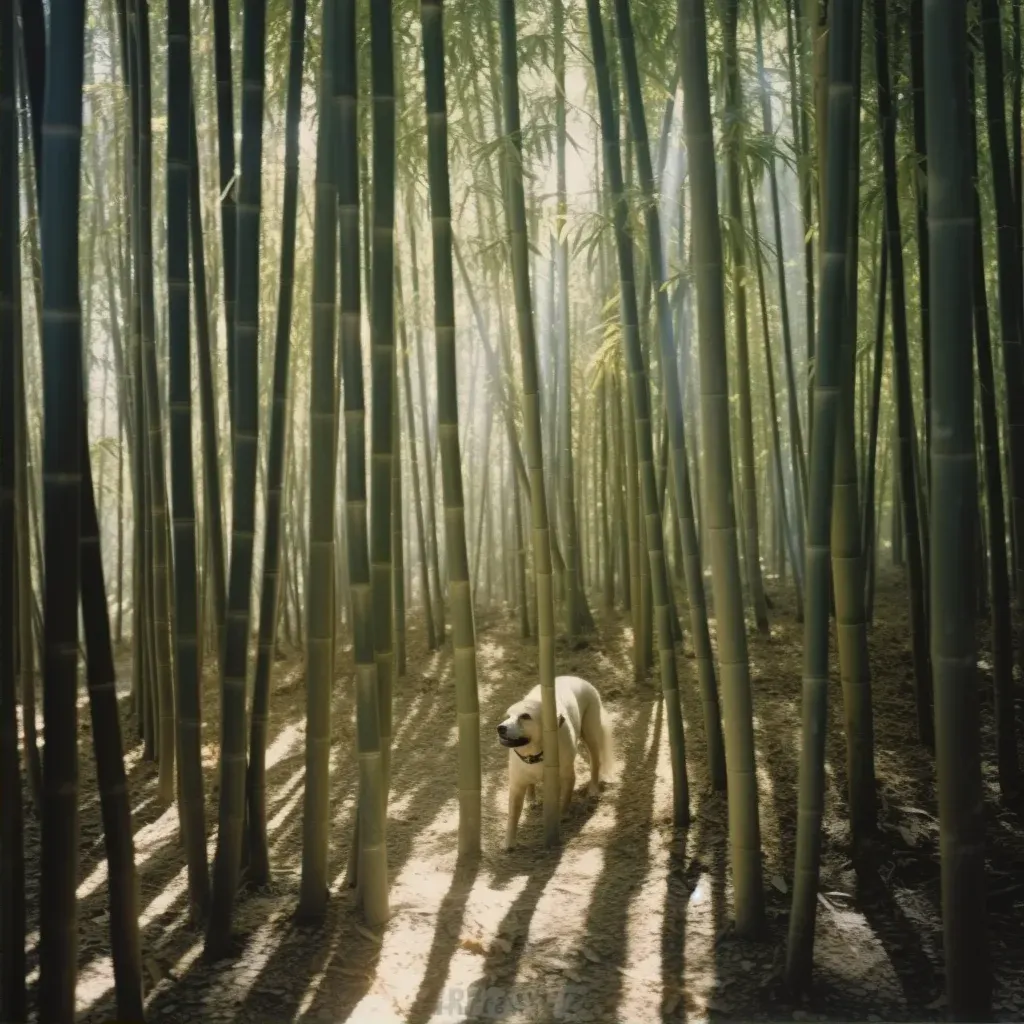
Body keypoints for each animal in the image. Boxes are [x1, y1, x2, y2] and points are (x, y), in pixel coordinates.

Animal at [497, 671, 610, 847]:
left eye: (525, 716)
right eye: (508, 716)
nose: (500, 728)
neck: (535, 754)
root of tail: (574, 677)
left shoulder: (567, 776)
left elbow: (565, 799)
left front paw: (563, 816)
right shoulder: (516, 785)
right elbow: (513, 816)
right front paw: (509, 842)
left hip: (590, 733)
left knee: (595, 762)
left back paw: (593, 789)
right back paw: (532, 799)